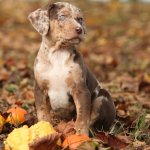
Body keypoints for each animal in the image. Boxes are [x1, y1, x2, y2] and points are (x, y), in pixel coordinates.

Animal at [28, 1, 115, 134]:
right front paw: (45, 129)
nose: (79, 30)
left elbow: (82, 117)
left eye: (80, 19)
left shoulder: (81, 90)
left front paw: (81, 135)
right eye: (62, 16)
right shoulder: (40, 89)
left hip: (102, 98)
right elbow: (43, 114)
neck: (58, 54)